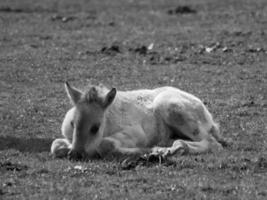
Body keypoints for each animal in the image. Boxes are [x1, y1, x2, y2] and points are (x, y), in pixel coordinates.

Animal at [50, 82, 228, 160]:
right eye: (73, 124)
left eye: (95, 127)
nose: (75, 154)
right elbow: (55, 145)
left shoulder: (136, 133)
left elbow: (106, 145)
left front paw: (149, 151)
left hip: (171, 107)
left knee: (213, 144)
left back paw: (168, 149)